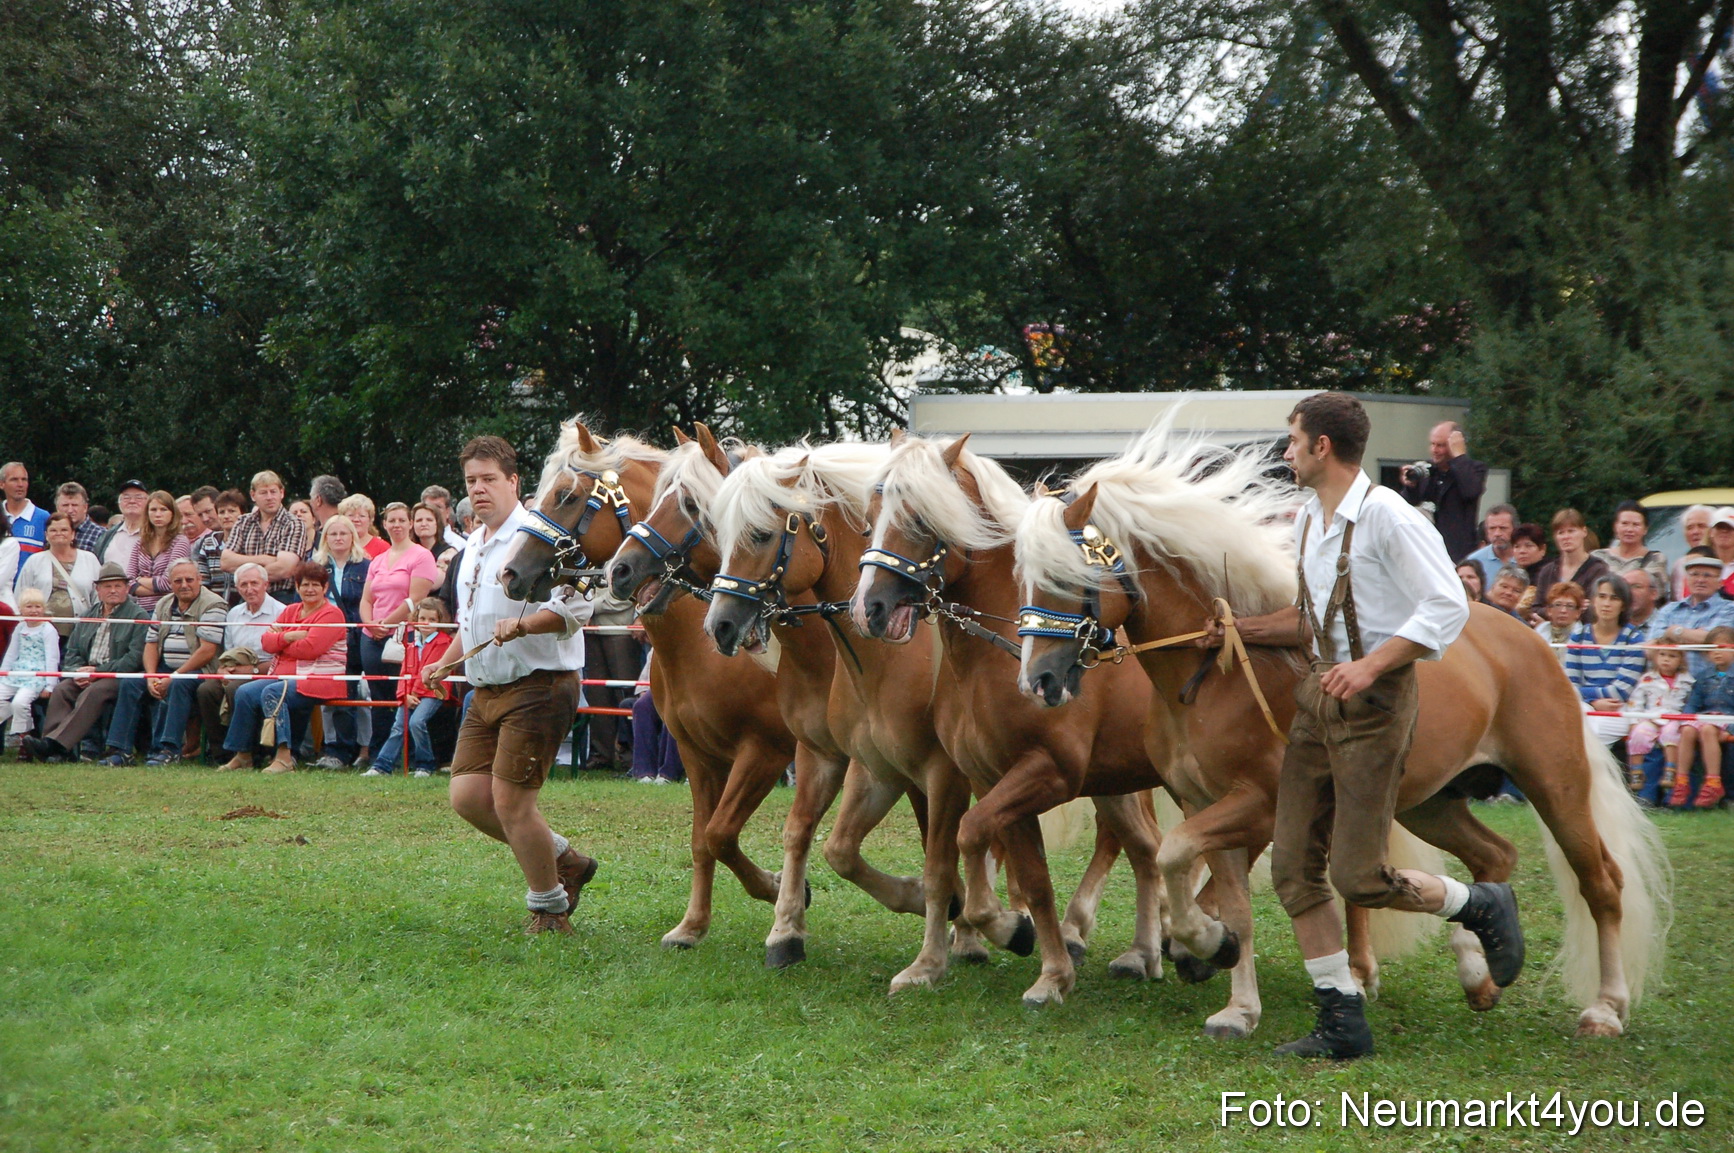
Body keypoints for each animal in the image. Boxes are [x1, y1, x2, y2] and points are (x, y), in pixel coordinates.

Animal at [495, 419, 801, 955]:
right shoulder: (699, 753)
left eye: (567, 495)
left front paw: (775, 887)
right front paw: (692, 926)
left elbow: (722, 833)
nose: (511, 572)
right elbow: (704, 839)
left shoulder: (765, 750)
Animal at [849, 435, 1181, 1014]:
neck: (1005, 652)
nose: (869, 608)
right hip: (1118, 783)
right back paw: (1142, 953)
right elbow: (1024, 875)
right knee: (1144, 848)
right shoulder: (996, 779)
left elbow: (970, 838)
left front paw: (1007, 929)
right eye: (870, 519)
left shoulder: (1045, 774)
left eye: (920, 519)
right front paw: (1047, 970)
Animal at [1013, 422, 1671, 1038]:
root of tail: (1533, 640)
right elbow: (1230, 900)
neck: (1210, 677)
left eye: (1070, 575)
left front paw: (1205, 945)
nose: (1038, 680)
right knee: (1493, 856)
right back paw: (1483, 967)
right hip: (1431, 801)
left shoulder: (1256, 805)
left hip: (1554, 785)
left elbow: (1178, 857)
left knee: (1600, 883)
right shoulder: (1206, 804)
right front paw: (1237, 1002)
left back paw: (1605, 1007)